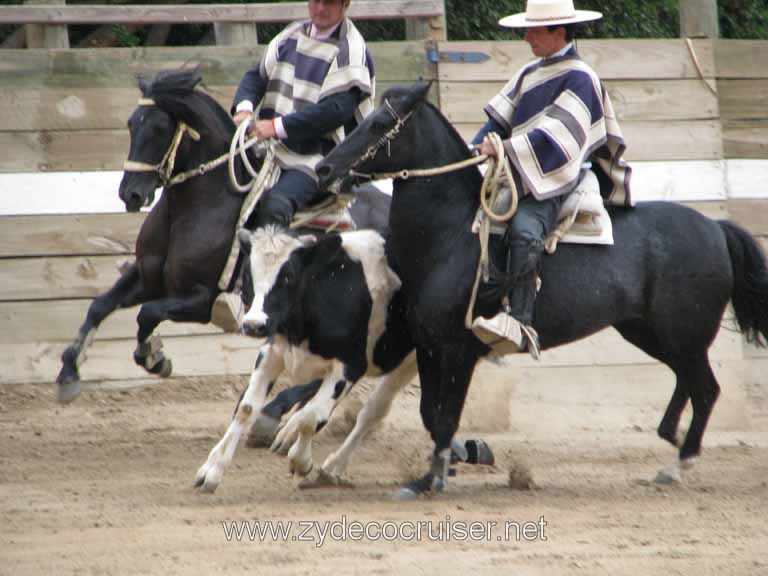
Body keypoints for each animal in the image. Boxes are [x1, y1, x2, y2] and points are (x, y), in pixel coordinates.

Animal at [55, 70, 390, 402]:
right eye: (131, 123)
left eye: (160, 128)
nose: (131, 194)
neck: (198, 207)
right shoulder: (148, 279)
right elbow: (99, 306)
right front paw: (69, 372)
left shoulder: (200, 299)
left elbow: (147, 314)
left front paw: (154, 357)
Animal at [195, 225, 416, 490]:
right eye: (248, 274)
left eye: (288, 276)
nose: (253, 325)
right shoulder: (272, 352)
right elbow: (246, 408)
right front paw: (212, 470)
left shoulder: (350, 366)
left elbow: (311, 418)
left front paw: (301, 462)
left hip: (411, 362)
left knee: (372, 411)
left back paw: (332, 465)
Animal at [316, 83, 768, 498]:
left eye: (379, 124)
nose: (324, 168)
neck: (451, 236)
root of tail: (715, 228)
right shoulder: (428, 346)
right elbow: (430, 413)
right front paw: (447, 465)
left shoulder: (459, 351)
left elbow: (445, 417)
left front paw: (435, 478)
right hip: (650, 333)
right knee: (686, 382)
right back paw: (671, 437)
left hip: (684, 335)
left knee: (706, 389)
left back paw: (678, 464)